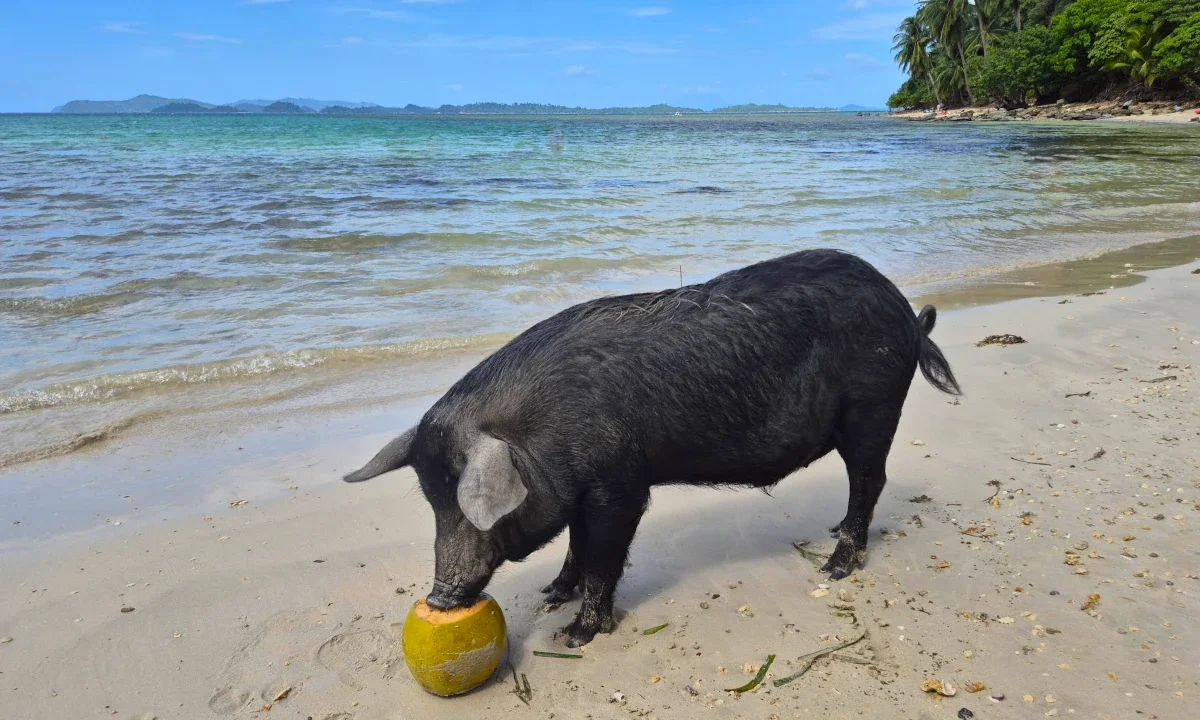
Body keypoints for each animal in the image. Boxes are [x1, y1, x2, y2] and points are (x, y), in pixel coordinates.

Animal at [344, 249, 960, 647]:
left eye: (463, 499)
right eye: (431, 499)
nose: (440, 597)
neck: (536, 433)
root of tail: (907, 315)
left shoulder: (618, 486)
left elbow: (602, 554)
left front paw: (575, 636)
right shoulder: (582, 491)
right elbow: (575, 546)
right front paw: (549, 595)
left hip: (873, 406)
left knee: (870, 480)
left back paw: (835, 567)